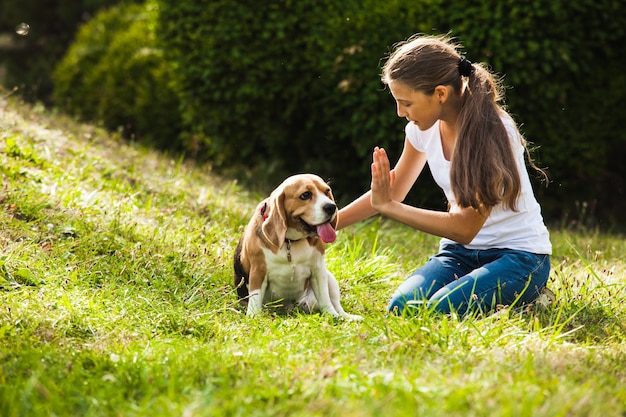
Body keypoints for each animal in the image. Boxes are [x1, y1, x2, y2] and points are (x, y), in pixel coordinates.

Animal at [234, 172, 360, 318]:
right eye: (305, 195)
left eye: (327, 191)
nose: (331, 207)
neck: (290, 241)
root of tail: (288, 307)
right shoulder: (258, 271)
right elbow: (255, 297)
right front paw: (253, 316)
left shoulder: (318, 270)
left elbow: (325, 298)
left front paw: (332, 316)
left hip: (330, 279)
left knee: (335, 304)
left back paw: (345, 317)